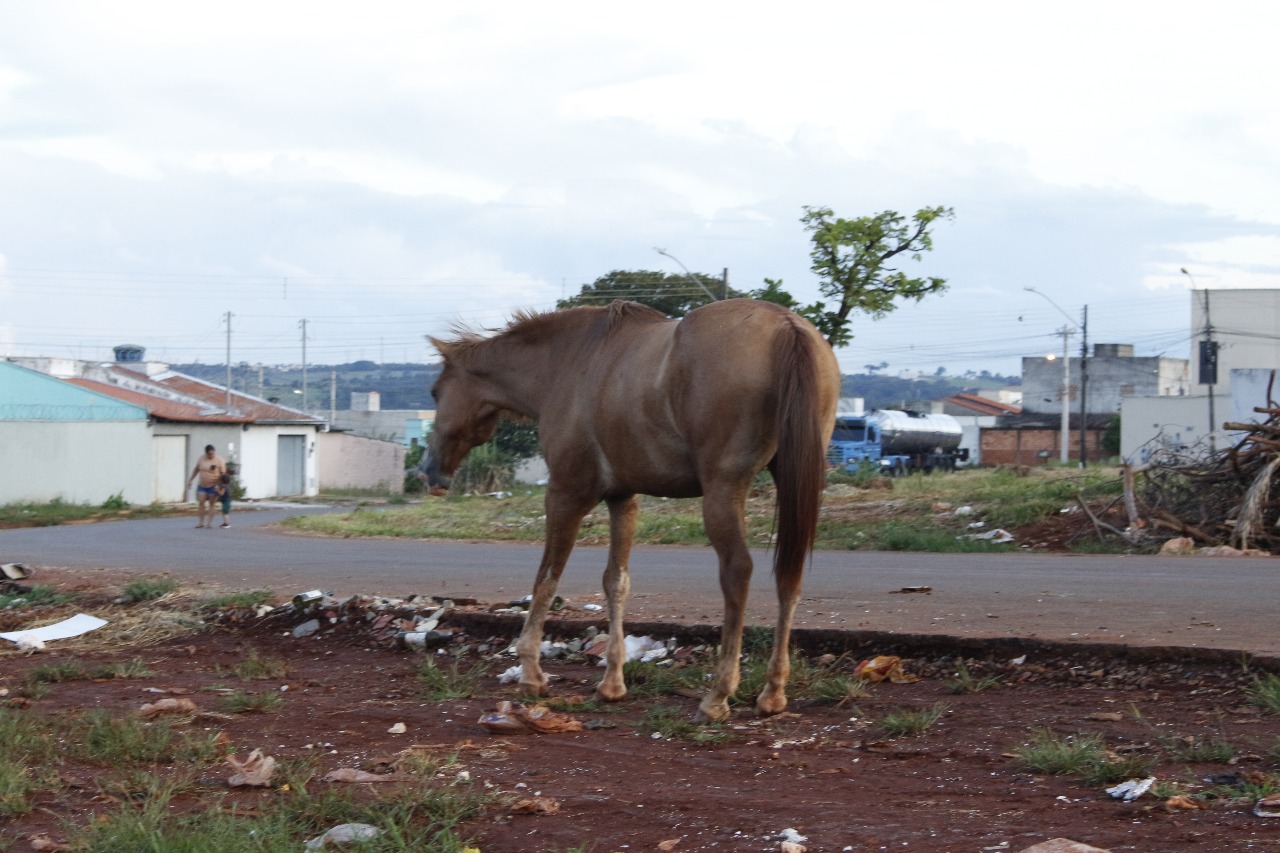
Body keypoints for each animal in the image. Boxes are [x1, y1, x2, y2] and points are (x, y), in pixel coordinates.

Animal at [423, 298, 840, 721]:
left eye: (435, 392)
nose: (429, 473)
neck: (566, 363)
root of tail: (786, 326)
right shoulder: (623, 499)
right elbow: (616, 581)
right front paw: (612, 682)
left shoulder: (565, 493)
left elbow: (546, 579)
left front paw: (531, 672)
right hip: (790, 484)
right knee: (788, 575)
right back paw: (773, 692)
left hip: (722, 492)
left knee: (738, 572)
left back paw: (718, 695)